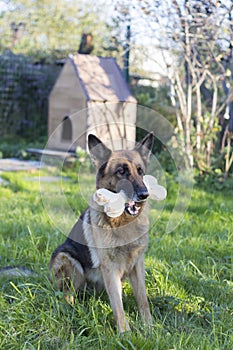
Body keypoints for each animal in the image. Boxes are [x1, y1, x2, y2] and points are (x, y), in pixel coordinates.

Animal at [49, 133, 153, 332]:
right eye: (121, 171)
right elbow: (118, 306)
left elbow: (143, 299)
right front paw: (125, 333)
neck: (122, 222)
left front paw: (150, 327)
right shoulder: (110, 269)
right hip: (69, 260)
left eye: (140, 171)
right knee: (66, 295)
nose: (144, 194)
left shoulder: (137, 264)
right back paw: (75, 311)